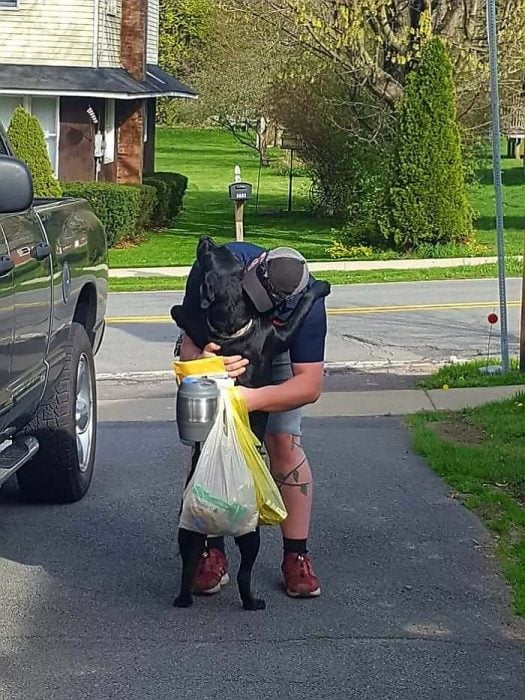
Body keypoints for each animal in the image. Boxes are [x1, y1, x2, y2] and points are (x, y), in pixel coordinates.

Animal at [170, 238, 330, 608]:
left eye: (216, 254)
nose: (205, 240)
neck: (232, 326)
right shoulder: (281, 335)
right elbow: (302, 309)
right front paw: (319, 288)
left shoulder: (199, 324)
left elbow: (181, 312)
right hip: (251, 537)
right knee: (244, 574)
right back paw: (253, 602)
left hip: (187, 536)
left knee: (187, 568)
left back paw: (185, 597)